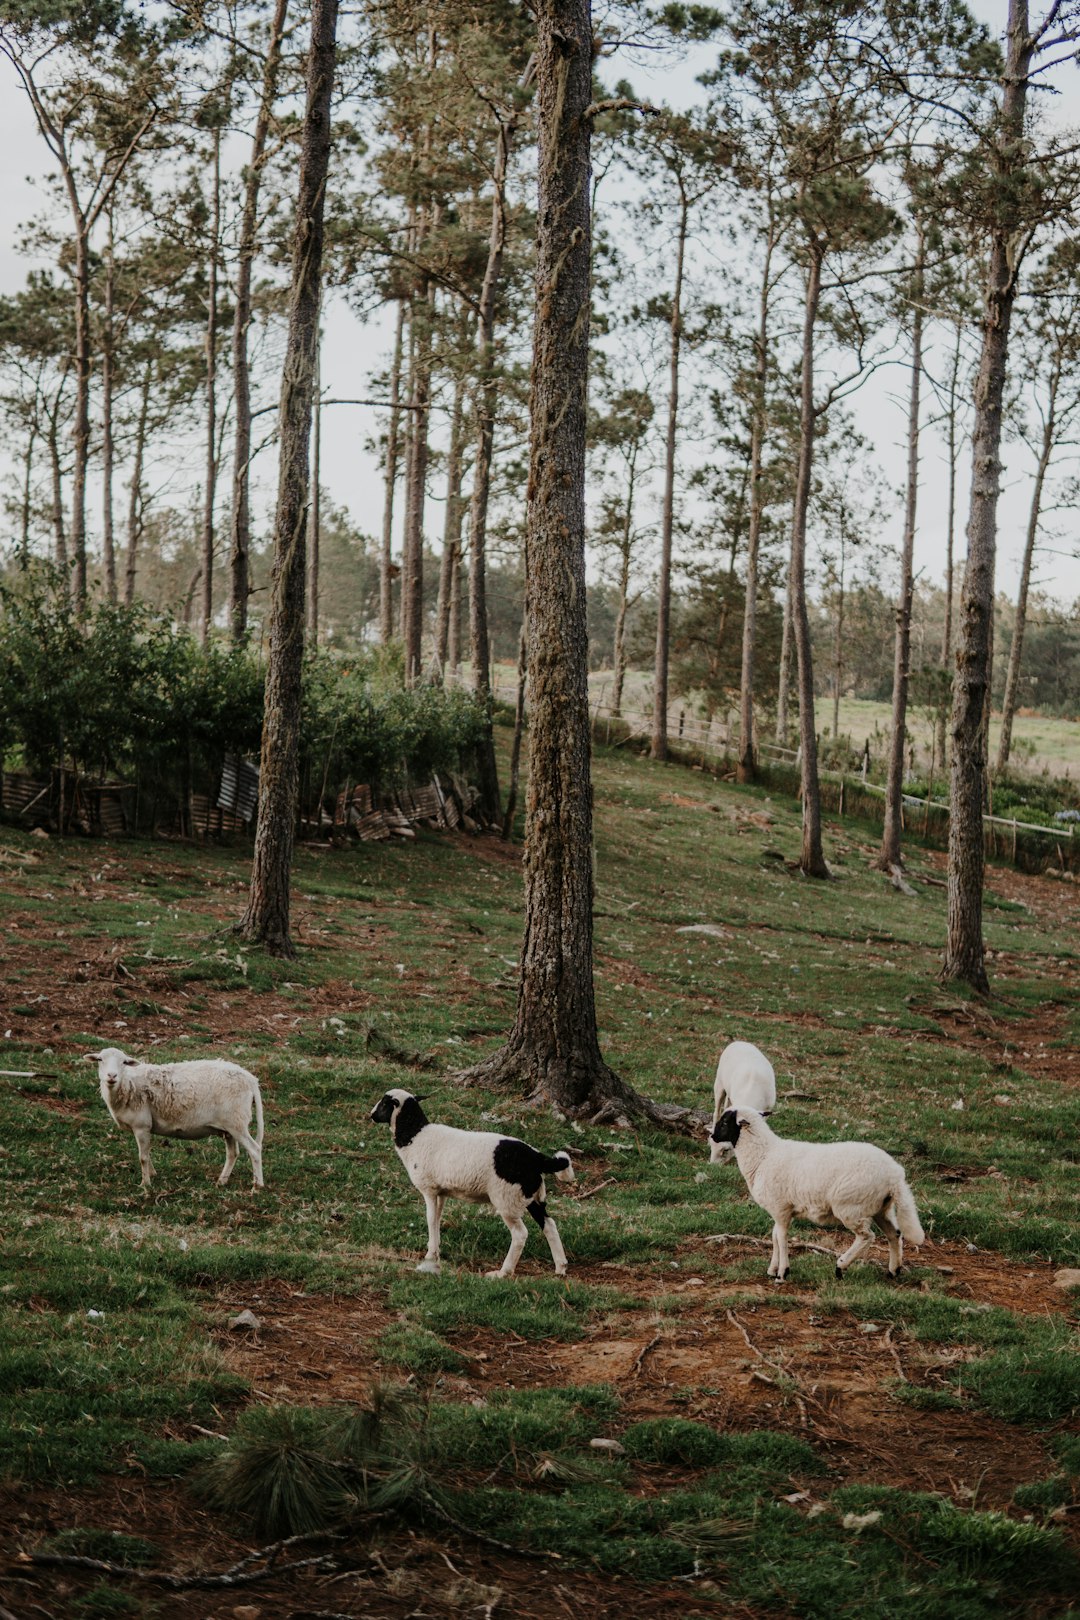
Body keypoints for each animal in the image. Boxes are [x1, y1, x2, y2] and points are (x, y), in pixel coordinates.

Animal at [88, 1049, 263, 1192]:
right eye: (100, 1059)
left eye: (124, 1062)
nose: (112, 1076)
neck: (127, 1084)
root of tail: (251, 1079)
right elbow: (147, 1154)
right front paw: (153, 1174)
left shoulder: (141, 1126)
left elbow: (143, 1157)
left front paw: (145, 1184)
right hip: (228, 1126)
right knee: (233, 1153)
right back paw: (221, 1181)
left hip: (237, 1122)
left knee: (254, 1149)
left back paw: (257, 1186)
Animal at [369, 1088, 573, 1276]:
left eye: (384, 1103)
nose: (371, 1115)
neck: (414, 1136)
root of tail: (537, 1158)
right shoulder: (441, 1192)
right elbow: (437, 1219)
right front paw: (435, 1253)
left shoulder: (429, 1189)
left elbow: (430, 1218)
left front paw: (430, 1255)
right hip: (531, 1195)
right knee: (549, 1225)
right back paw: (560, 1267)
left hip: (507, 1198)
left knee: (520, 1234)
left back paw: (503, 1273)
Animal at [712, 1108, 926, 1283]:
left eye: (725, 1122)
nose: (713, 1136)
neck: (763, 1156)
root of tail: (894, 1175)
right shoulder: (780, 1210)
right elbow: (775, 1236)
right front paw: (773, 1269)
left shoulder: (781, 1208)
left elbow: (781, 1237)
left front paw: (782, 1273)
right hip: (881, 1207)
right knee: (894, 1234)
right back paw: (893, 1271)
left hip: (851, 1206)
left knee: (867, 1236)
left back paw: (841, 1266)